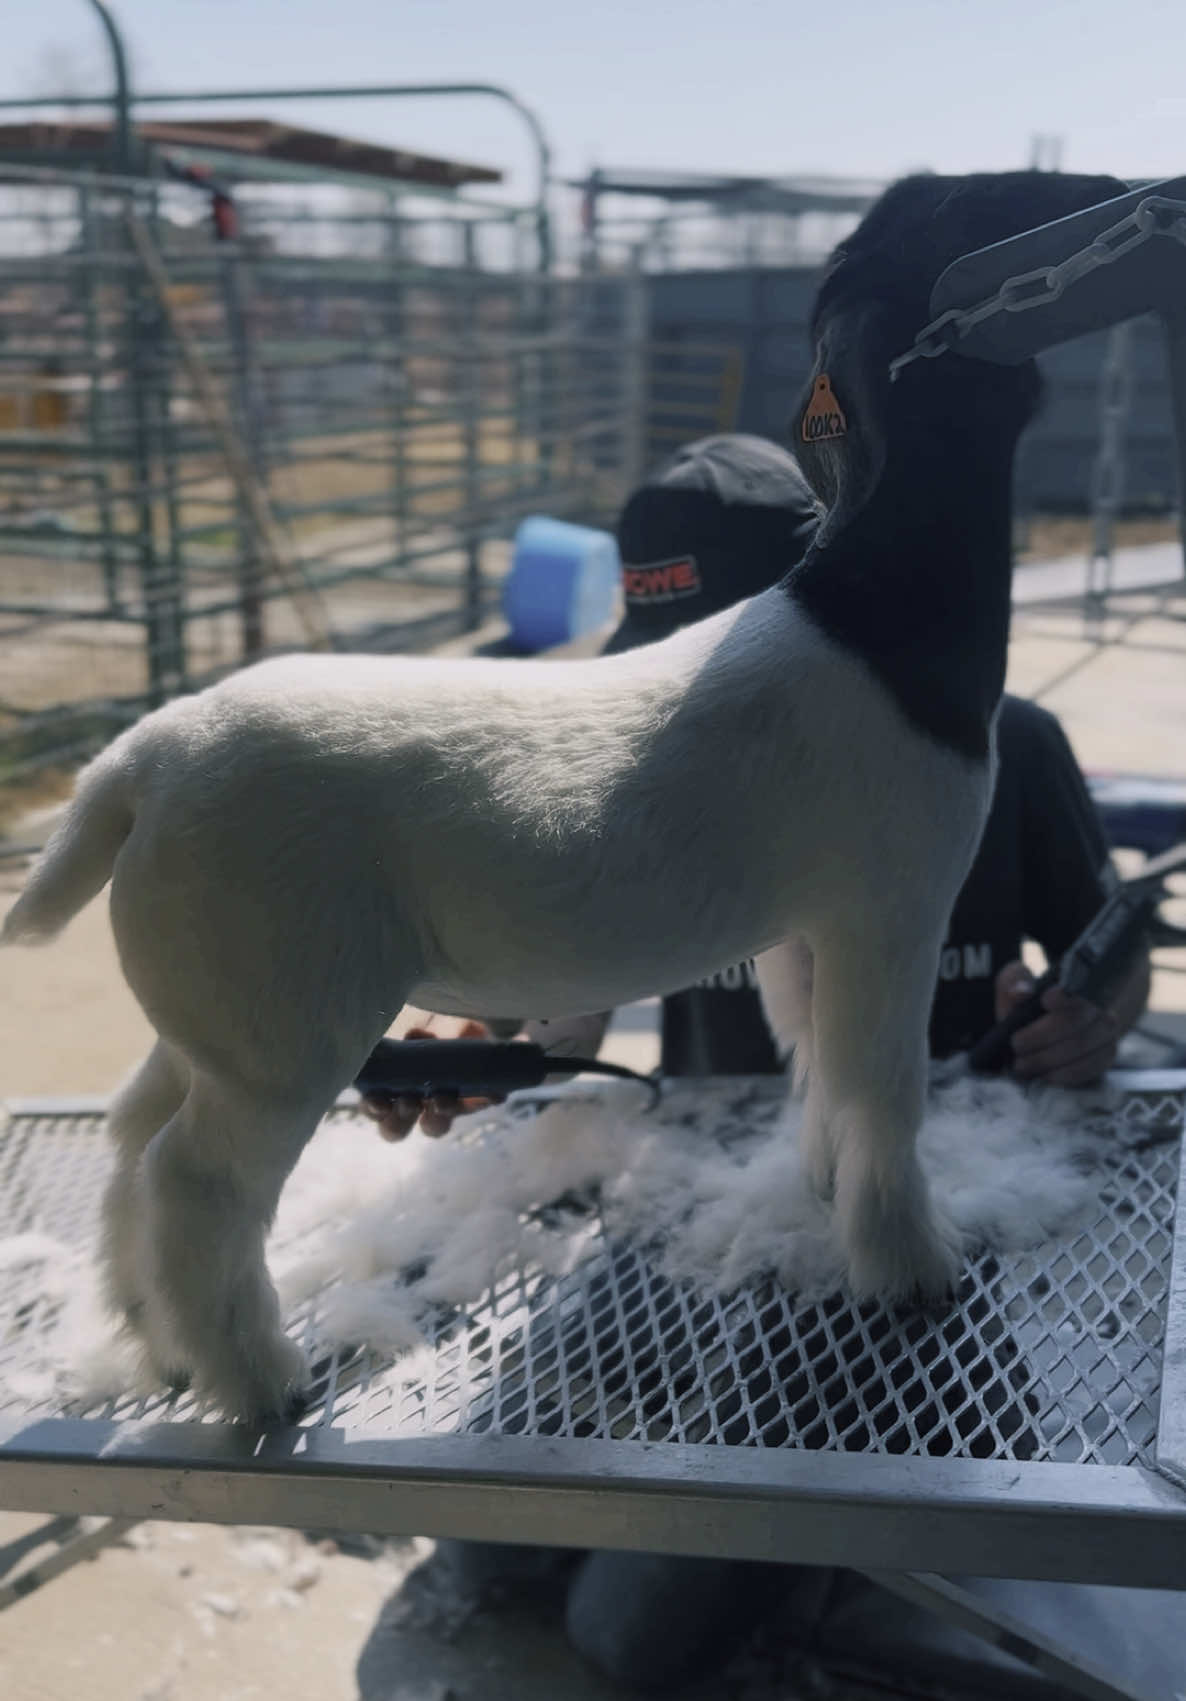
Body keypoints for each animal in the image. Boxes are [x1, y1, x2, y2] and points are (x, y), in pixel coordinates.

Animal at [4, 169, 1123, 1422]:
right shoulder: (890, 903)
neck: (878, 617)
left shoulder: (805, 933)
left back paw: (153, 1344)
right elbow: (883, 1092)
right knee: (195, 1180)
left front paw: (826, 1193)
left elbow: (817, 1072)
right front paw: (909, 1269)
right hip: (283, 1021)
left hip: (208, 1005)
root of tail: (137, 765)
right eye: (1006, 201)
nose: (1115, 194)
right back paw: (259, 1381)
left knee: (131, 1132)